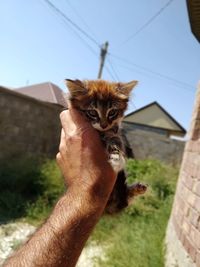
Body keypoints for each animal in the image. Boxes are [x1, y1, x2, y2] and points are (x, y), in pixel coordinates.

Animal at [65, 79, 147, 214]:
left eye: (112, 112)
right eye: (92, 112)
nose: (104, 125)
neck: (102, 132)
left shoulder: (114, 133)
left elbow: (116, 140)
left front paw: (116, 158)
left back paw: (138, 188)